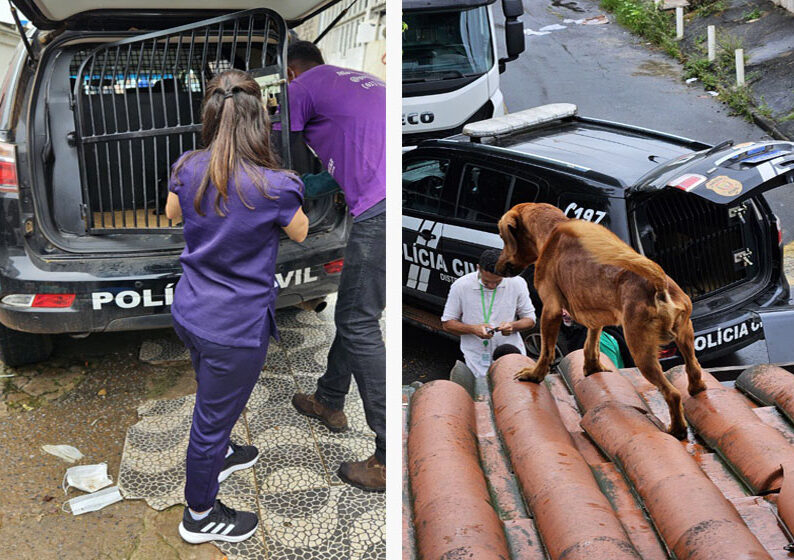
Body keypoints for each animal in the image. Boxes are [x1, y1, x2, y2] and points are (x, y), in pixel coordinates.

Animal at [496, 201, 704, 438]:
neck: (551, 228)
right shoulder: (595, 314)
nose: (496, 267)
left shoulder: (550, 309)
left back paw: (677, 429)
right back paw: (696, 389)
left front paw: (534, 375)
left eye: (503, 237)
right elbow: (591, 343)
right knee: (694, 369)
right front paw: (592, 367)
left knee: (672, 393)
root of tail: (658, 283)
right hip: (685, 334)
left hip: (641, 350)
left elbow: (546, 352)